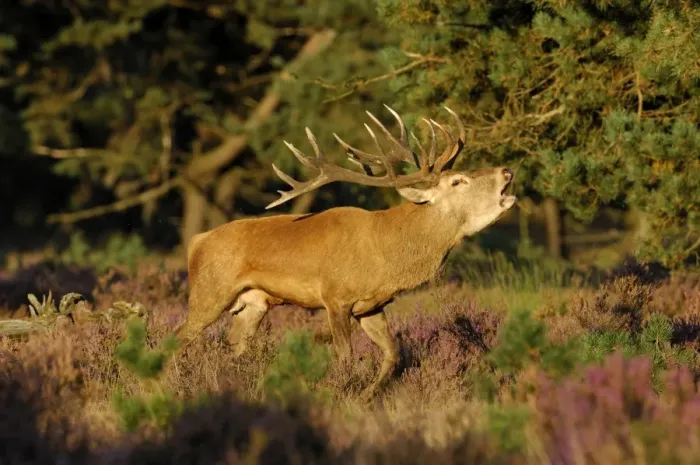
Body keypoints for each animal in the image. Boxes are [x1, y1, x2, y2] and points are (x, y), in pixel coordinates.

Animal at [174, 105, 517, 395]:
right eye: (458, 181)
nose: (506, 172)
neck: (386, 255)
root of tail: (197, 241)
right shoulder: (335, 296)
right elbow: (345, 357)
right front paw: (338, 394)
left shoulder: (372, 305)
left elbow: (393, 354)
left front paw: (366, 398)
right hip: (210, 290)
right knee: (177, 337)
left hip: (253, 303)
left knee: (234, 345)